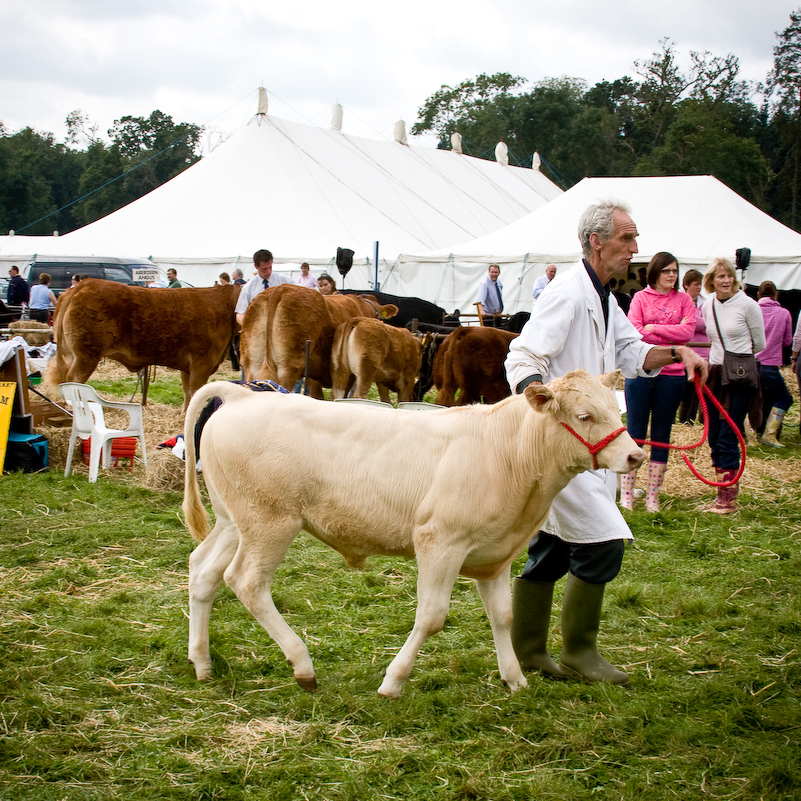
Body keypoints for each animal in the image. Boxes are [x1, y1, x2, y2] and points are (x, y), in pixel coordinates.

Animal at [46, 280, 239, 406]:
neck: (227, 304)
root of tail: (84, 284)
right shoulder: (202, 363)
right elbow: (195, 393)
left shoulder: (188, 367)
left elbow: (187, 394)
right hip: (86, 355)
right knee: (73, 381)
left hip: (71, 354)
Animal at [183, 372, 644, 696]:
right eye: (584, 416)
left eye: (616, 410)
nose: (635, 455)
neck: (509, 452)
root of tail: (246, 394)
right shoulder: (440, 542)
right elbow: (431, 616)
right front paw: (393, 681)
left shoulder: (496, 554)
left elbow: (503, 615)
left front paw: (514, 679)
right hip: (270, 522)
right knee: (246, 581)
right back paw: (303, 666)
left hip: (233, 521)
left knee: (203, 570)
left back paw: (202, 663)